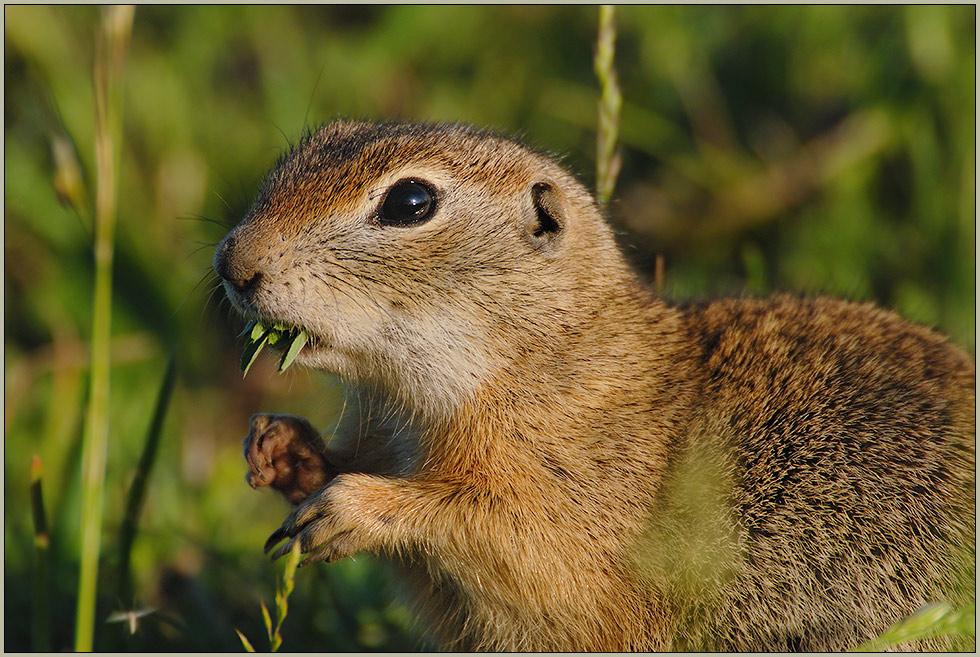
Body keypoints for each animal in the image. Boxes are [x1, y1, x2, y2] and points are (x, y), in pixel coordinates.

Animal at [212, 120, 972, 648]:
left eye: (411, 201)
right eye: (307, 147)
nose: (232, 261)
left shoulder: (572, 505)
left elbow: (513, 541)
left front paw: (354, 506)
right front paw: (279, 446)